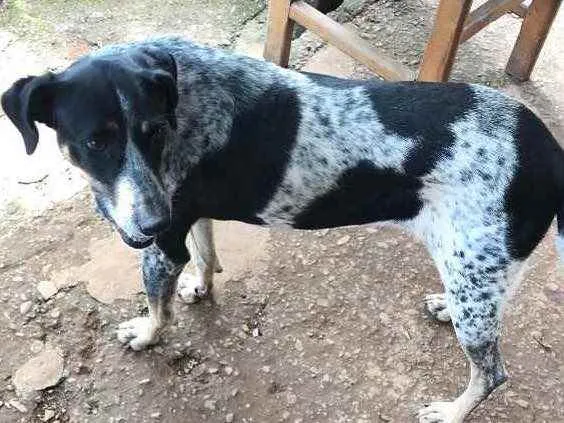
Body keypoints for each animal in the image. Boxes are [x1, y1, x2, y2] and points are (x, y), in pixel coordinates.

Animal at [2, 38, 560, 422]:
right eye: (95, 142)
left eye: (153, 132)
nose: (150, 224)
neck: (183, 97)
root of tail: (549, 148)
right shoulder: (189, 217)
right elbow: (205, 253)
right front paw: (200, 286)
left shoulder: (163, 245)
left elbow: (157, 304)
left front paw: (145, 334)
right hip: (481, 273)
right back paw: (443, 306)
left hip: (476, 283)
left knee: (492, 373)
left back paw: (450, 411)